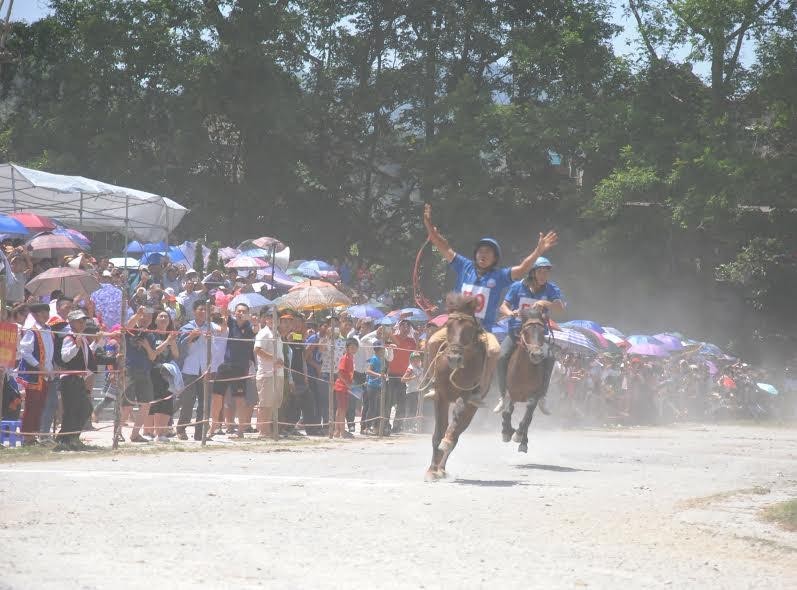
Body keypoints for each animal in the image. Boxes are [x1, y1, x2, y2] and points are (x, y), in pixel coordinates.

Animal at [422, 294, 486, 484]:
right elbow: (438, 433)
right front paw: (431, 471)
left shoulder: (465, 395)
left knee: (456, 434)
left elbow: (454, 422)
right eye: (449, 326)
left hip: (472, 409)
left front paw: (445, 445)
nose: (454, 358)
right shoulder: (440, 397)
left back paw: (443, 465)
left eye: (470, 328)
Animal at [500, 310, 552, 454]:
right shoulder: (511, 393)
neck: (524, 371)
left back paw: (523, 442)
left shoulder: (534, 395)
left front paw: (517, 435)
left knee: (529, 417)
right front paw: (506, 432)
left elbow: (528, 415)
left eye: (543, 331)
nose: (537, 355)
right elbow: (507, 411)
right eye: (525, 331)